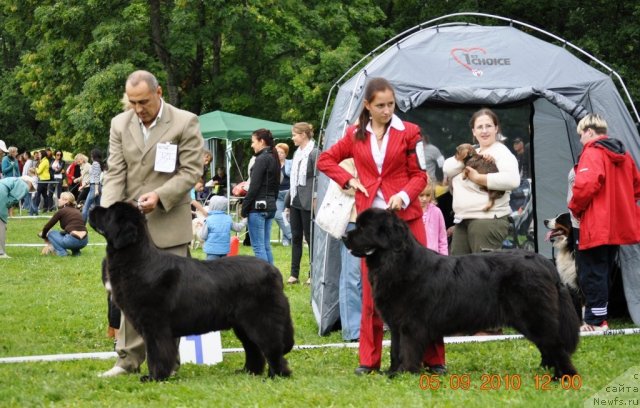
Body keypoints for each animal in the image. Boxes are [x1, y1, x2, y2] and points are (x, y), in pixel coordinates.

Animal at [89, 202, 294, 380]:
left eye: (108, 213)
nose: (91, 207)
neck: (137, 260)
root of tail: (274, 271)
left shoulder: (155, 325)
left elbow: (156, 353)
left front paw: (154, 377)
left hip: (261, 320)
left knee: (272, 348)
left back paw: (277, 375)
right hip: (242, 324)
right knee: (253, 349)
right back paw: (249, 372)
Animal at [344, 209, 580, 378]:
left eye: (364, 227)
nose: (345, 235)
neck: (396, 261)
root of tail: (544, 262)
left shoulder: (411, 324)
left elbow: (407, 349)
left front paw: (405, 373)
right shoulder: (396, 324)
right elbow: (395, 349)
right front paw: (392, 373)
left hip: (534, 316)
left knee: (556, 345)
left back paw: (564, 376)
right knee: (548, 346)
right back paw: (547, 371)